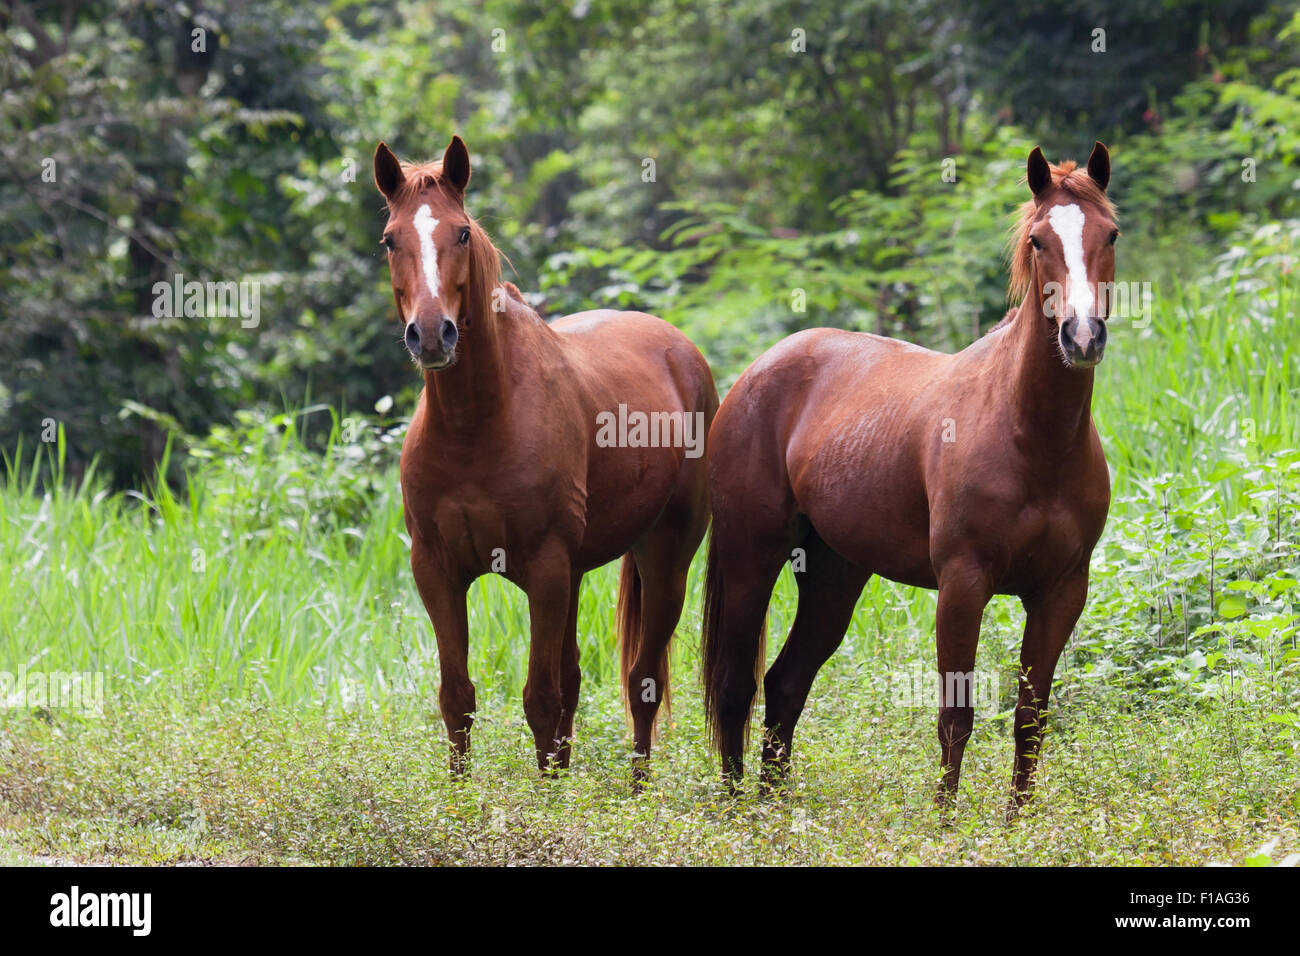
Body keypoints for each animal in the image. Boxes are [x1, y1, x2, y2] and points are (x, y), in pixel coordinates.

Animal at [377, 136, 722, 780]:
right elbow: (458, 699)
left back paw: (638, 791)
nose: (432, 335)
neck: (476, 425)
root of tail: (680, 349)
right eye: (391, 239)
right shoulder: (437, 571)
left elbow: (539, 699)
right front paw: (460, 800)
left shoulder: (543, 567)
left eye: (462, 233)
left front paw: (547, 802)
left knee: (641, 681)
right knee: (576, 680)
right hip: (577, 572)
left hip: (664, 558)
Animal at [702, 141, 1118, 816]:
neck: (1032, 436)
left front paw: (1019, 824)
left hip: (835, 575)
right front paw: (945, 823)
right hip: (749, 556)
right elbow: (956, 717)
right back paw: (742, 810)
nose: (1082, 336)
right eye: (1038, 240)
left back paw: (774, 805)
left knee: (785, 684)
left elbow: (1030, 718)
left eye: (1110, 233)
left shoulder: (1061, 591)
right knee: (736, 685)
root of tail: (756, 372)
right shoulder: (962, 583)